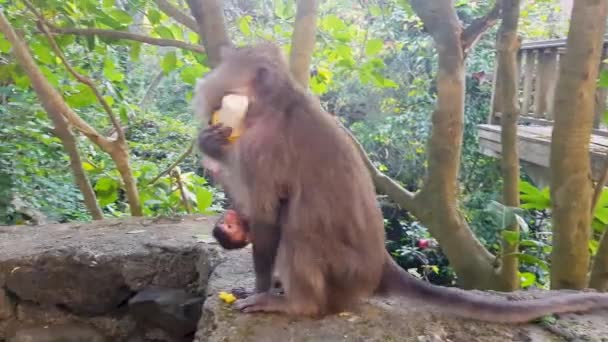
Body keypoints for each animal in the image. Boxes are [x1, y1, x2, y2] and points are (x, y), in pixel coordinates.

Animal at [196, 41, 608, 322]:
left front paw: (260, 288)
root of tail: (380, 263)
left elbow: (268, 214)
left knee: (298, 228)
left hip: (344, 275)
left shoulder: (259, 148)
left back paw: (299, 304)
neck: (275, 101)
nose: (209, 90)